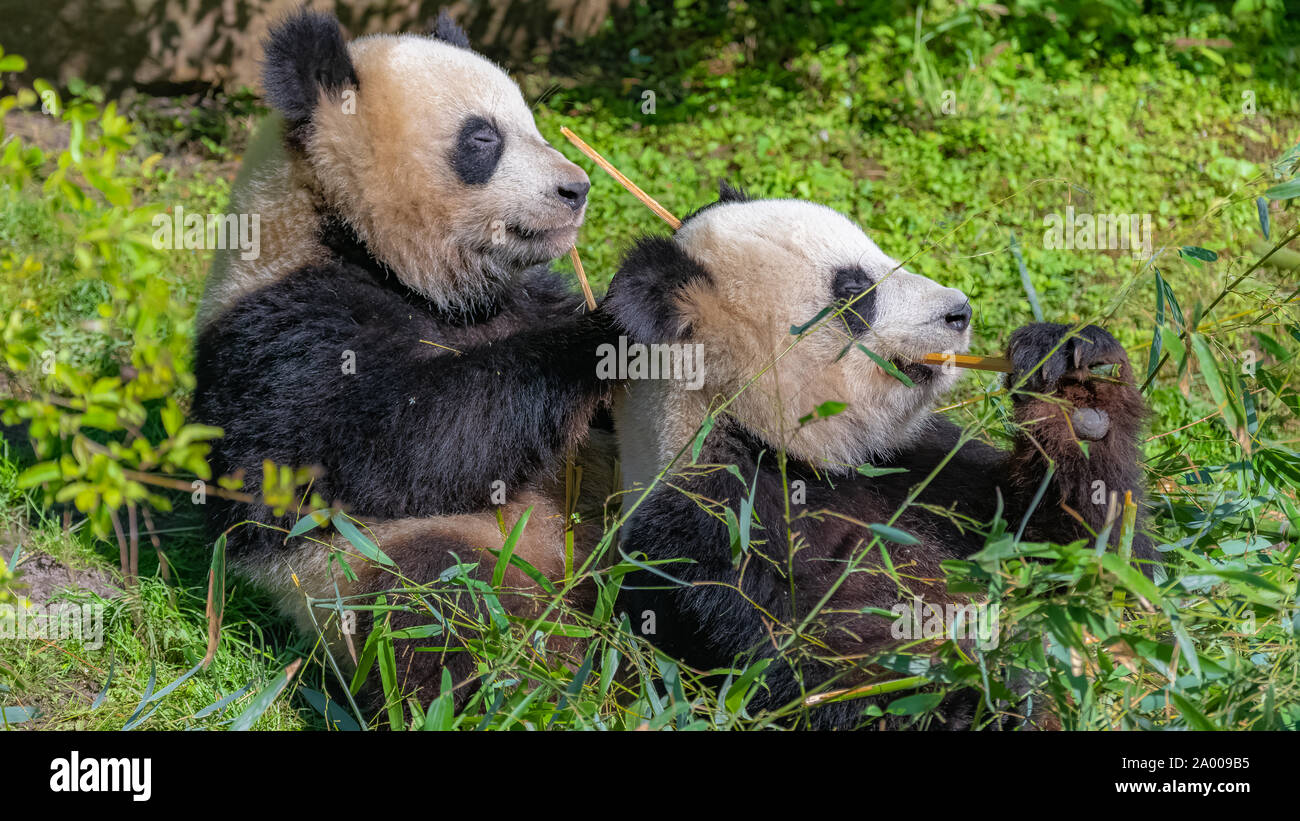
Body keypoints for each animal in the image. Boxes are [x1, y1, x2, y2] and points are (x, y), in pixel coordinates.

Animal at [193, 10, 617, 711]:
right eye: (482, 138)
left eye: (533, 122)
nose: (575, 189)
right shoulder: (282, 333)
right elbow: (405, 445)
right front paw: (620, 322)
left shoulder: (525, 296)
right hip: (389, 562)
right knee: (438, 607)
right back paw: (539, 690)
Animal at [603, 184, 1155, 730]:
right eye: (855, 292)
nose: (960, 312)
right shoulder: (708, 529)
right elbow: (813, 674)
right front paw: (995, 689)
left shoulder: (922, 463)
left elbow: (1097, 564)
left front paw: (1074, 386)